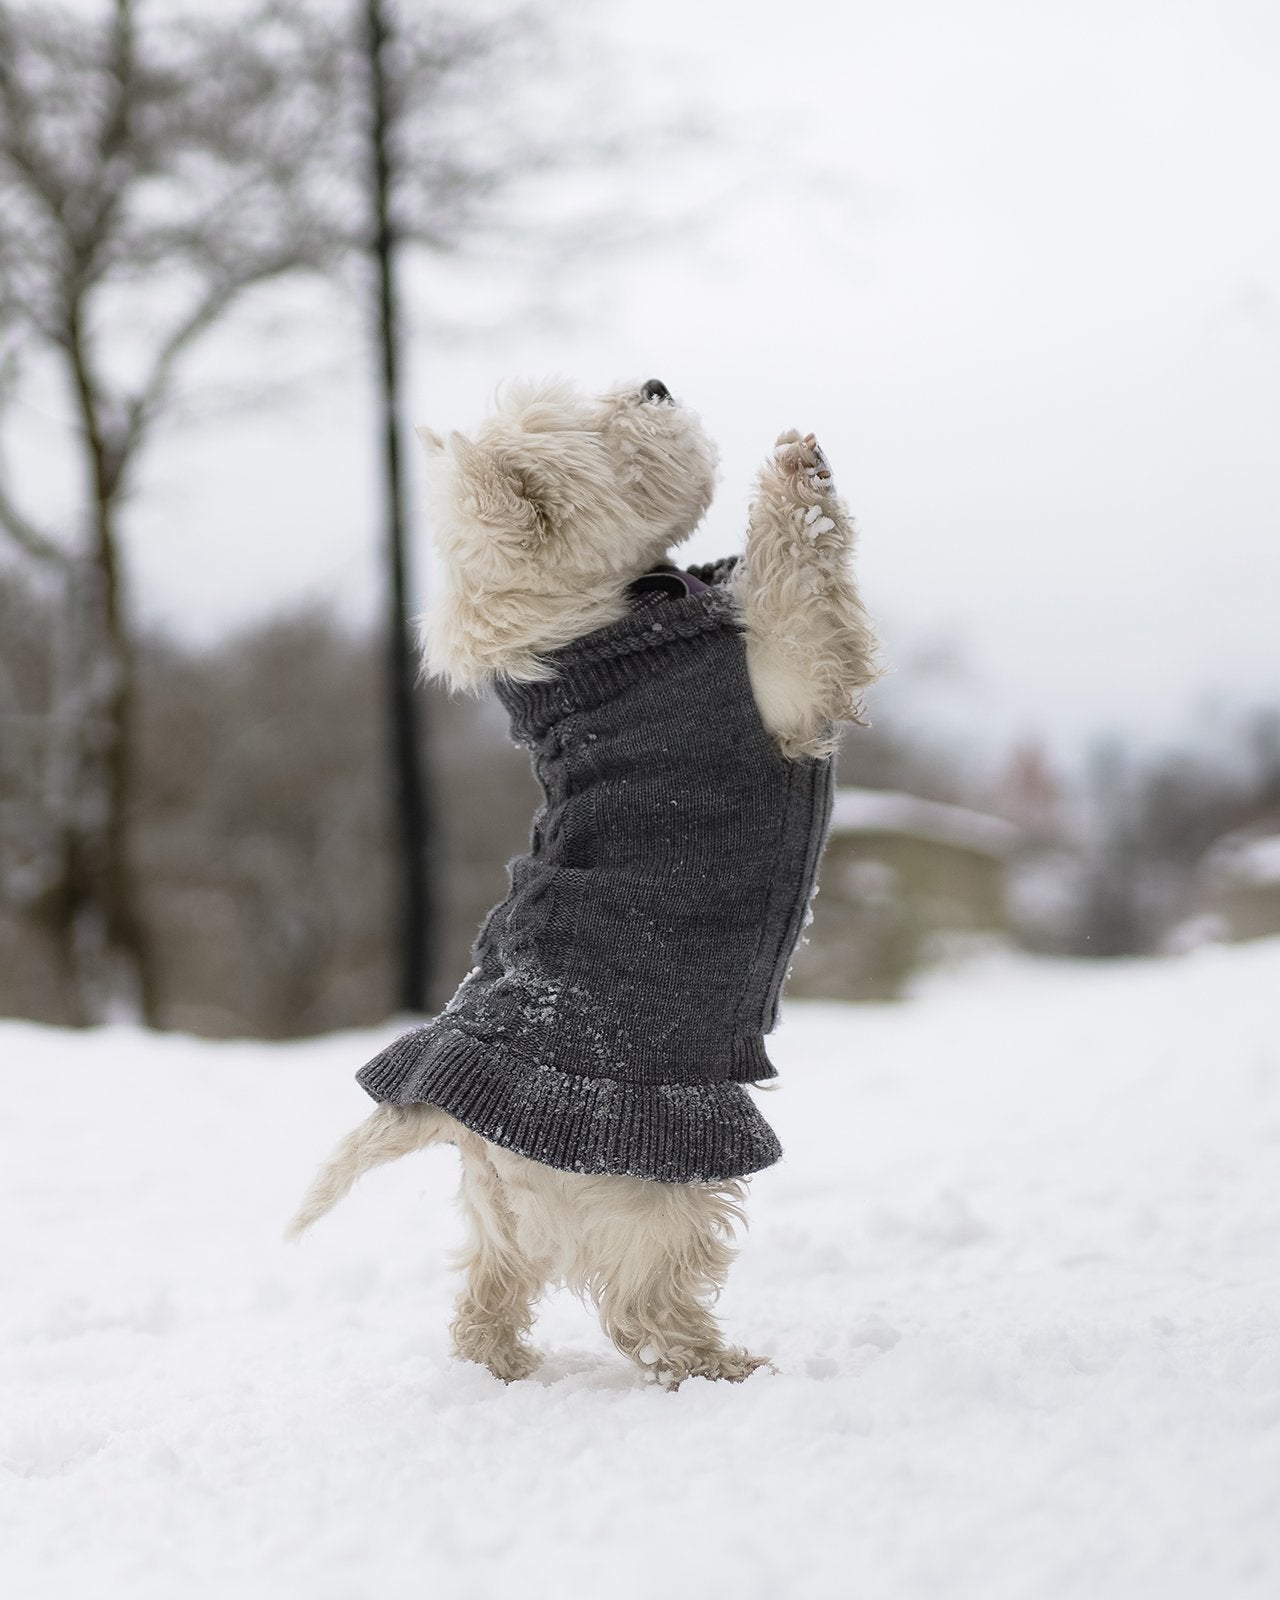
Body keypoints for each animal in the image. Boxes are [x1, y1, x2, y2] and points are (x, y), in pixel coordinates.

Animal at [284, 374, 876, 1388]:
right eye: (604, 434)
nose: (655, 384)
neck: (601, 627)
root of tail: (454, 1114)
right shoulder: (787, 684)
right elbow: (800, 586)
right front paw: (796, 474)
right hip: (652, 1184)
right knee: (646, 1306)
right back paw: (725, 1368)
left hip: (504, 1211)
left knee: (487, 1294)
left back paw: (502, 1369)